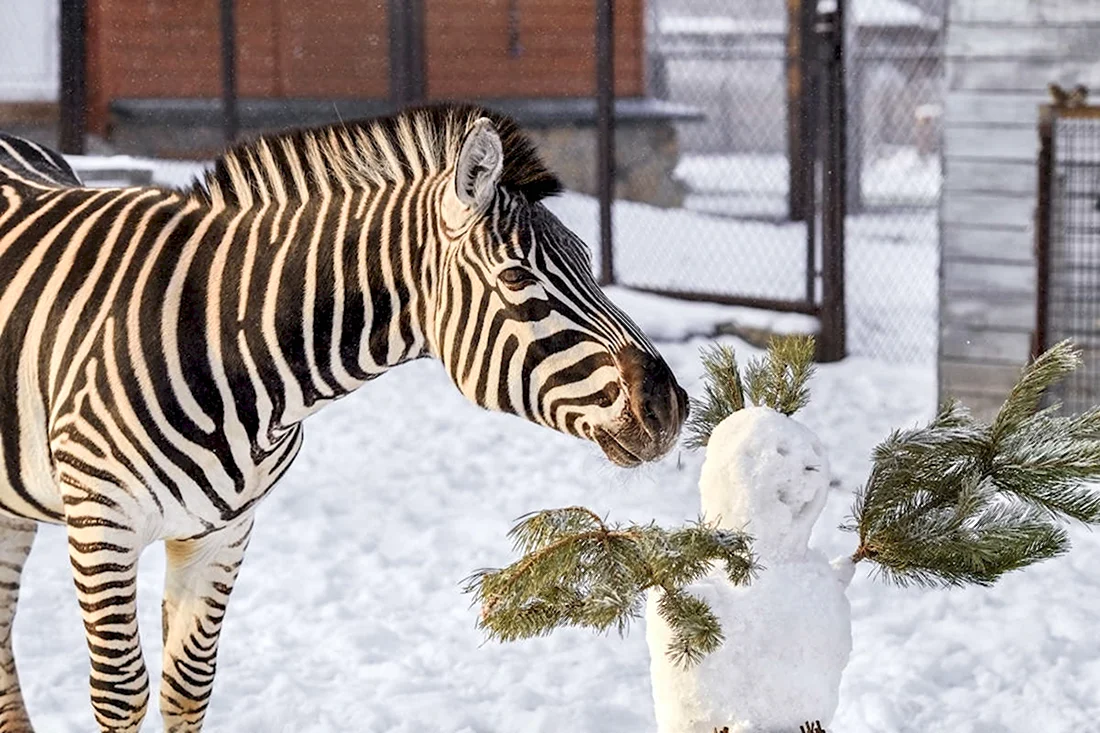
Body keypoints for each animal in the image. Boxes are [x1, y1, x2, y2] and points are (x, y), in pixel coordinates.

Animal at [0, 104, 686, 730]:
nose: (669, 406)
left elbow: (186, 688)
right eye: (518, 277)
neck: (226, 345)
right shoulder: (102, 526)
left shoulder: (222, 533)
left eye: (588, 263)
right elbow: (121, 695)